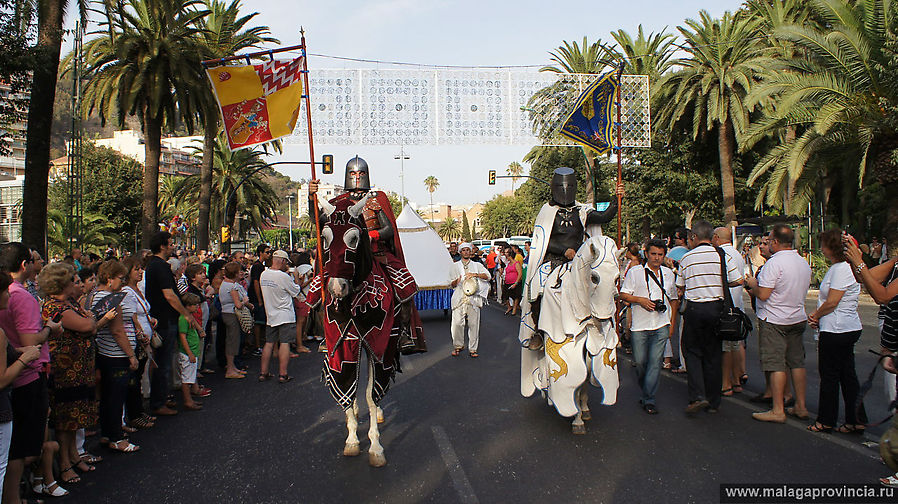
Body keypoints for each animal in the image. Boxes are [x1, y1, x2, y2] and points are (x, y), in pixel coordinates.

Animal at [516, 232, 620, 434]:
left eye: (617, 278)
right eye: (594, 277)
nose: (604, 318)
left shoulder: (591, 346)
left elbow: (587, 375)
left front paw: (584, 409)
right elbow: (576, 381)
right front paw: (577, 418)